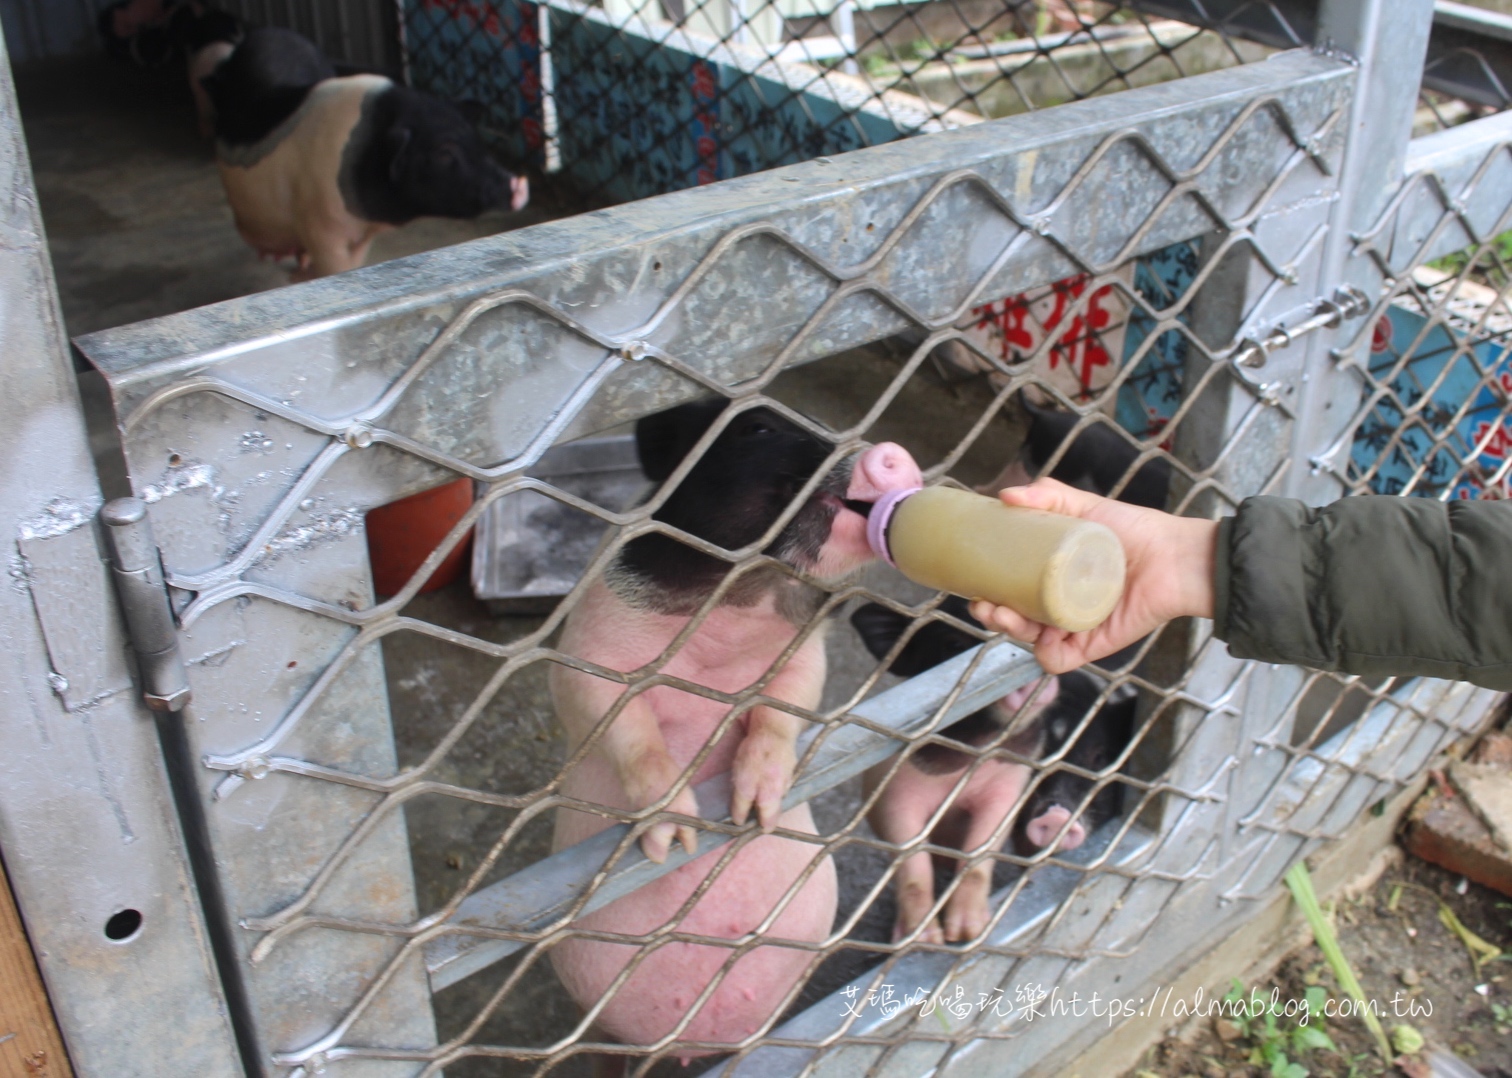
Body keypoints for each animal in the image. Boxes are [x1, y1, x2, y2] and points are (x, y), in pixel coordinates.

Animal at [204, 30, 529, 281]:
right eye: (444, 151)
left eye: (476, 140)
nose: (518, 183)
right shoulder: (320, 227)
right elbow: (335, 267)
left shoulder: (363, 234)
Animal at [544, 399, 919, 1058]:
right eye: (758, 428)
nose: (894, 450)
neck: (745, 602)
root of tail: (689, 1043)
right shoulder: (589, 654)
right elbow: (626, 723)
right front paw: (677, 838)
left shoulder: (805, 658)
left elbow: (781, 709)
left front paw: (757, 812)